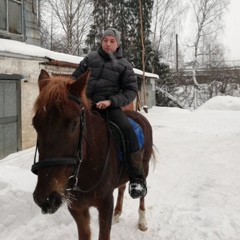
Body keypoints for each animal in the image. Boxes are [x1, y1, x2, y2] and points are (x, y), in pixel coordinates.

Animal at [31, 69, 156, 240]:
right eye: (35, 124)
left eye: (74, 124)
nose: (47, 198)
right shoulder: (77, 208)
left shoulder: (105, 204)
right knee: (122, 187)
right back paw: (117, 214)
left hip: (144, 167)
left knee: (142, 193)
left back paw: (142, 221)